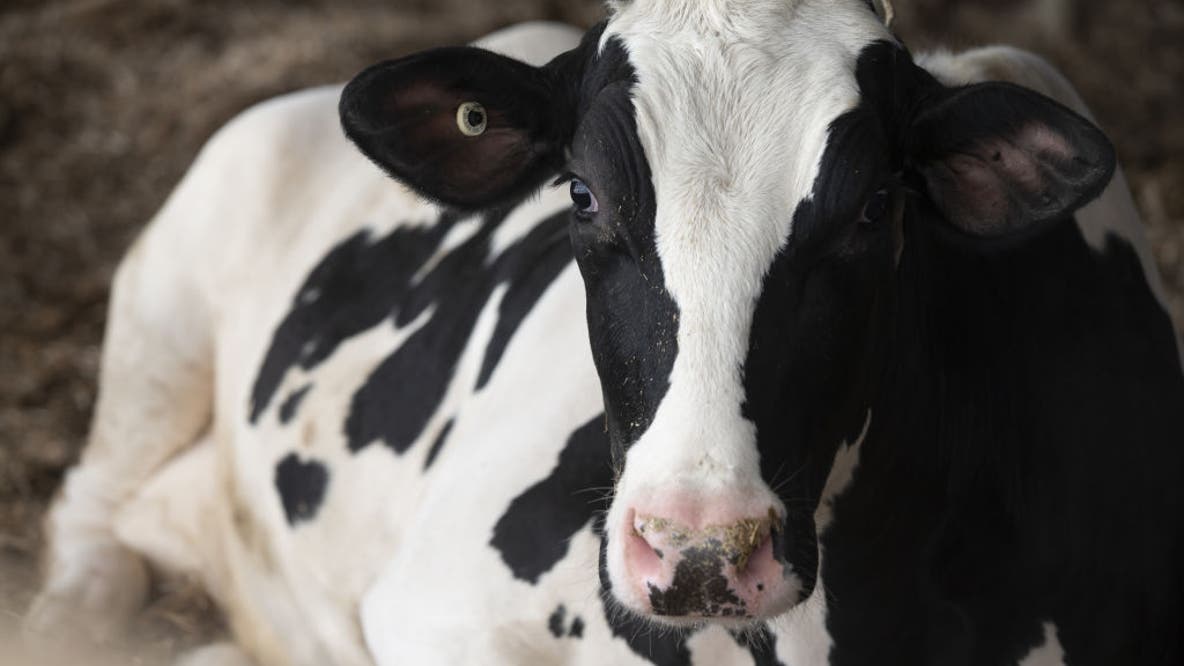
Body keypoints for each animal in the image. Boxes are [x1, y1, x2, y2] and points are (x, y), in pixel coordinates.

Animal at [25, 1, 1184, 664]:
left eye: (872, 210)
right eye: (580, 194)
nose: (700, 548)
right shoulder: (435, 610)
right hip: (171, 286)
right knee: (89, 509)